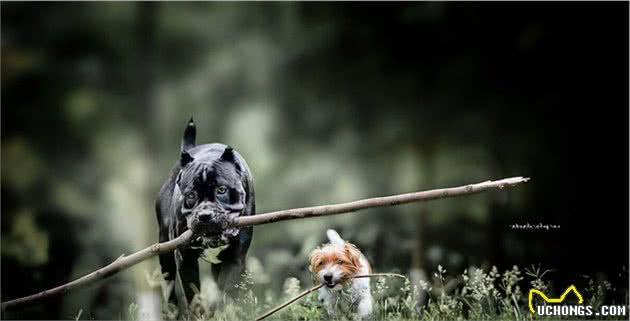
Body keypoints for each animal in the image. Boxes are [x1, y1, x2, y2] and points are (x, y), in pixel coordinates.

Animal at [154, 117, 256, 310]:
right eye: (191, 195)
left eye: (222, 189)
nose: (205, 215)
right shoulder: (185, 259)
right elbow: (193, 296)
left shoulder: (235, 259)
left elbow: (225, 294)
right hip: (165, 254)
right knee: (170, 291)